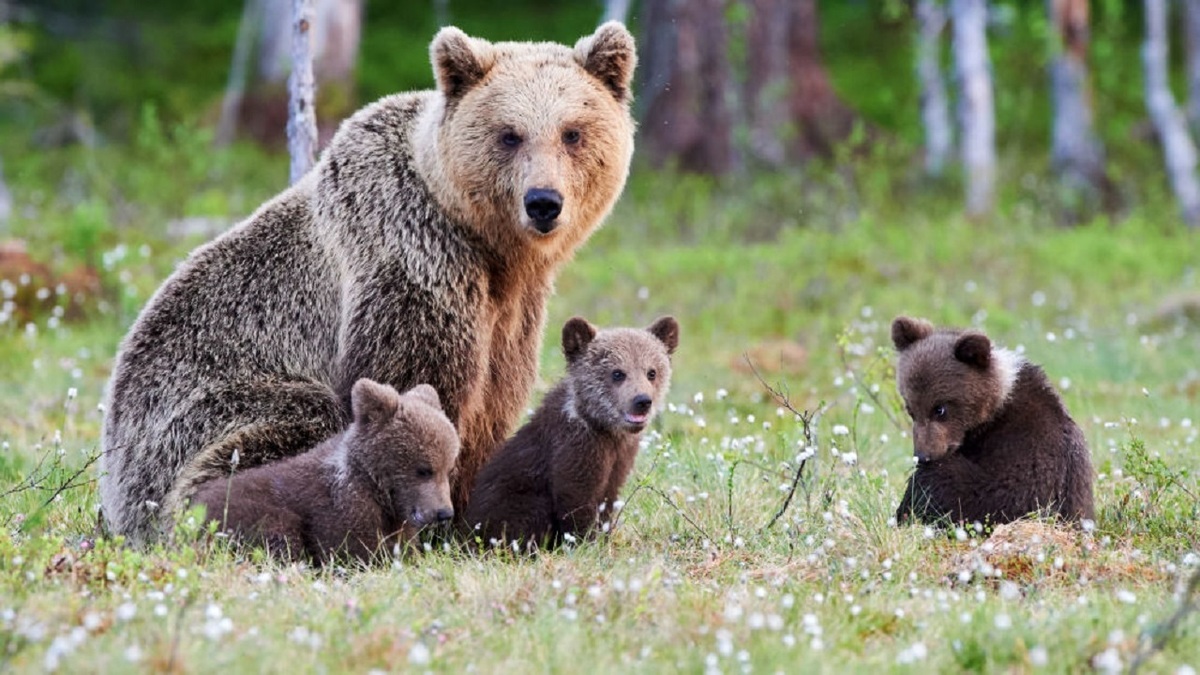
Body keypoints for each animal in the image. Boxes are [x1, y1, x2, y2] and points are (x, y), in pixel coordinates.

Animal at [98, 21, 638, 540]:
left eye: (572, 132)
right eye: (509, 134)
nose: (543, 202)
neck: (488, 247)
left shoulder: (512, 310)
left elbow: (493, 402)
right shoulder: (411, 259)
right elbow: (412, 387)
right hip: (192, 419)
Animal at [463, 314, 681, 547]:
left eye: (651, 372)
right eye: (617, 373)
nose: (642, 401)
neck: (604, 428)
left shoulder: (619, 459)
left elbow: (608, 501)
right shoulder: (575, 451)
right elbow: (576, 501)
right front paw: (585, 542)